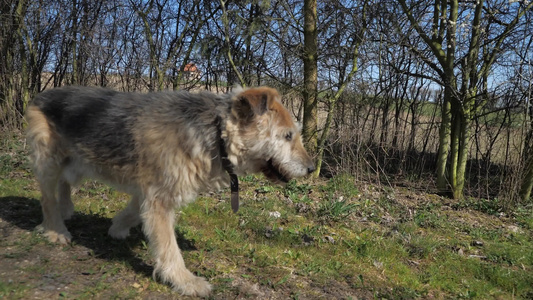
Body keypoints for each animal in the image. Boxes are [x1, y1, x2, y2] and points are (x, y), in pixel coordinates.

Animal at [25, 85, 314, 296]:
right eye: (288, 136)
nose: (312, 168)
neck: (216, 132)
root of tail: (41, 94)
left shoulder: (153, 191)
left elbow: (134, 210)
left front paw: (117, 228)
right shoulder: (160, 198)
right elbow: (169, 247)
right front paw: (185, 281)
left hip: (77, 160)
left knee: (64, 183)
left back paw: (66, 209)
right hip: (50, 159)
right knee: (47, 197)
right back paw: (56, 229)